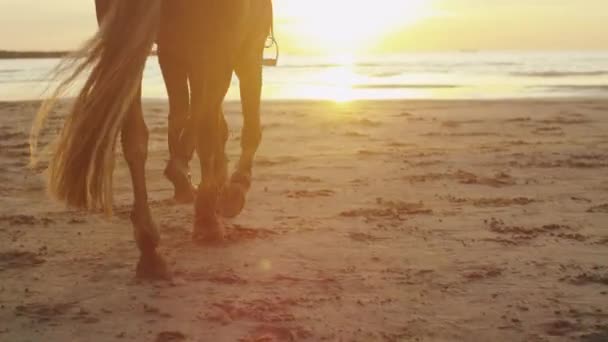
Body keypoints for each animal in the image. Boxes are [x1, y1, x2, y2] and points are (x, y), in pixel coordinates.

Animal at [30, 0, 274, 280]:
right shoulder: (242, 47)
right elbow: (234, 124)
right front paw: (232, 189)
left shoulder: (175, 52)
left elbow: (188, 115)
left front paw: (190, 177)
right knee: (206, 121)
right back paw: (206, 220)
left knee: (135, 135)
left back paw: (149, 245)